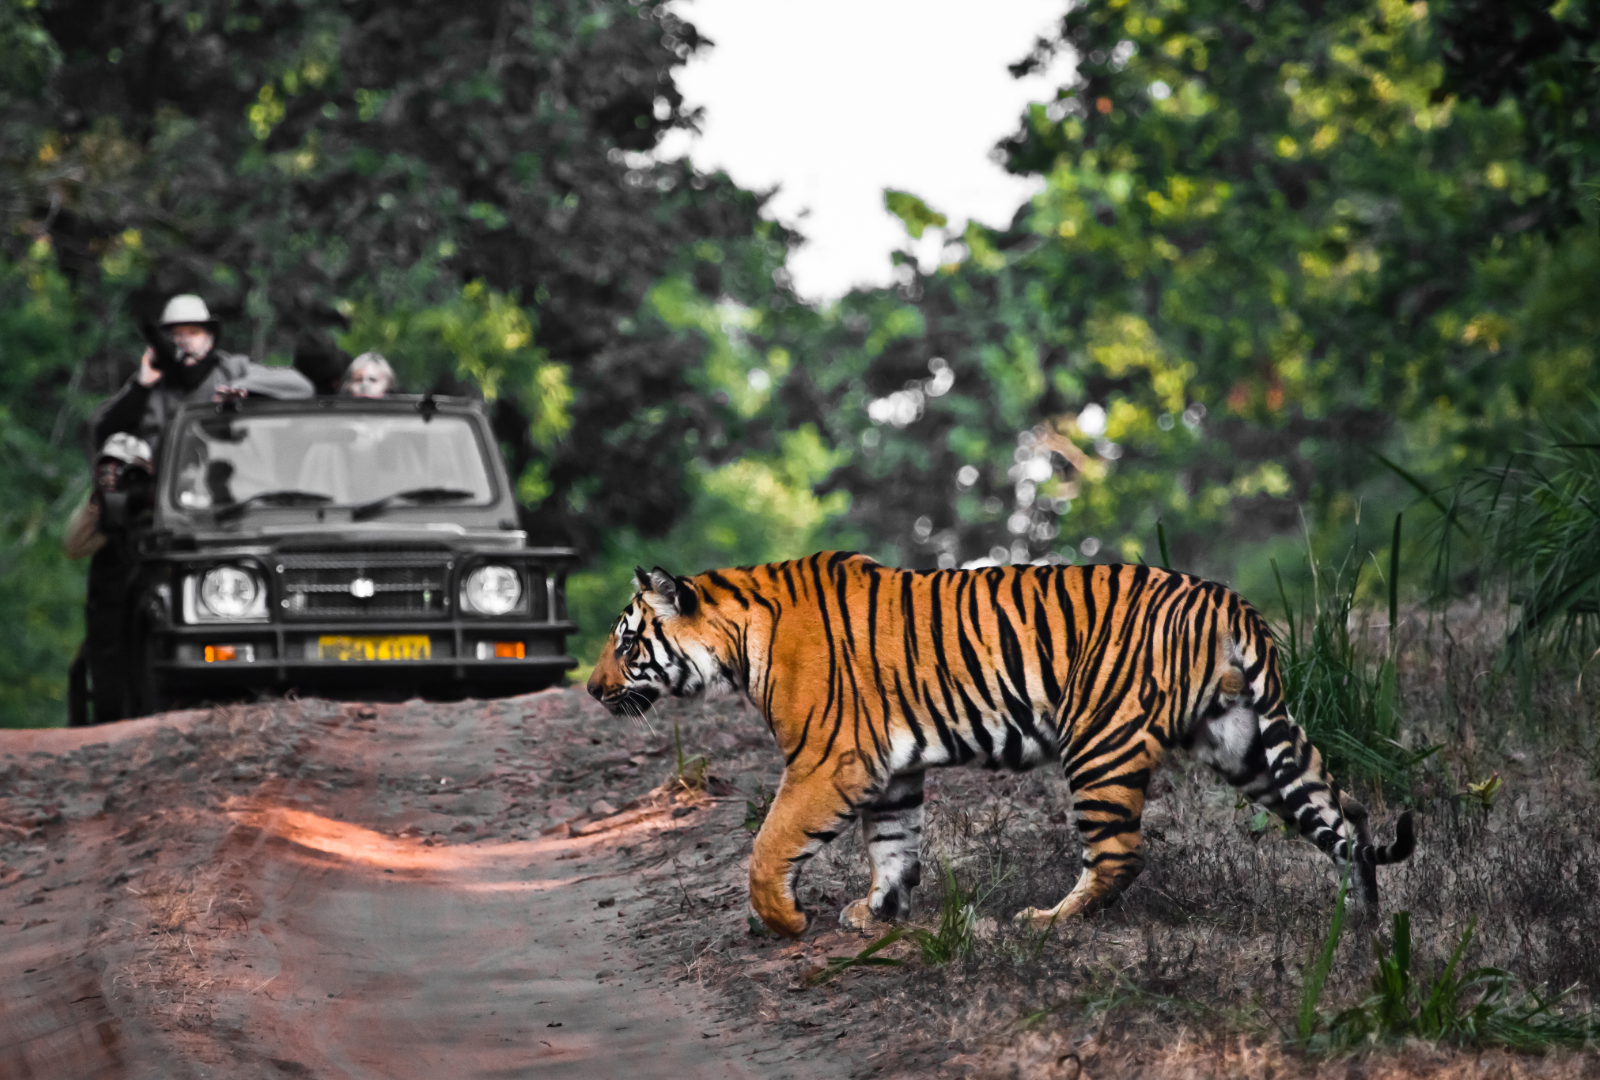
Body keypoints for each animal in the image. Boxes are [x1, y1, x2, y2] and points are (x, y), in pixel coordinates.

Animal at [587, 552, 1415, 939]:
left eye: (627, 643)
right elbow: (893, 845)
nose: (592, 690)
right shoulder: (889, 769)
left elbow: (768, 845)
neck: (739, 638)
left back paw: (1049, 921)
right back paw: (1364, 920)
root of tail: (1227, 598)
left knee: (1120, 854)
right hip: (1244, 742)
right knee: (1343, 812)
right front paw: (879, 911)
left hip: (1101, 742)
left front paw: (785, 923)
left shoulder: (830, 760)